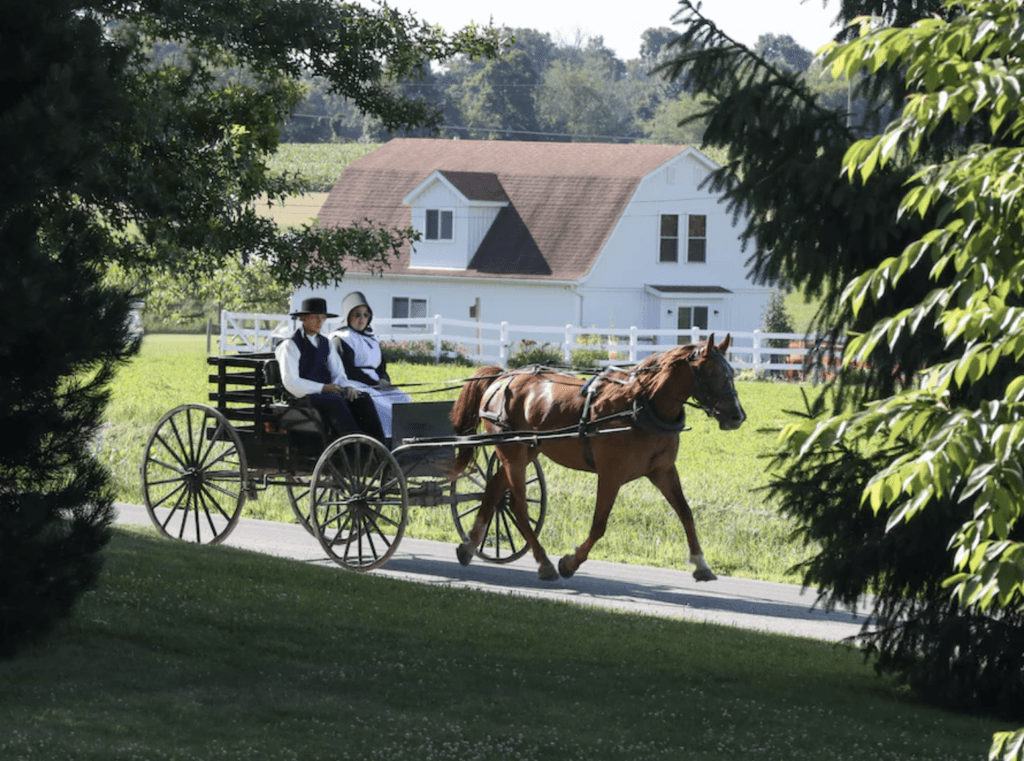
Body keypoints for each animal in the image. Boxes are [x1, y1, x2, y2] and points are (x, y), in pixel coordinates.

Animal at [448, 333, 745, 581]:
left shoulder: (662, 470)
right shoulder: (611, 474)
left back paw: (469, 546)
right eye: (711, 372)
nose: (737, 416)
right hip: (513, 452)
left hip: (526, 450)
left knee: (494, 489)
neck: (640, 404)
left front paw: (701, 563)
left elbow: (685, 512)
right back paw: (543, 562)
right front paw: (570, 563)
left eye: (731, 372)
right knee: (518, 505)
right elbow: (599, 525)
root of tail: (502, 377)